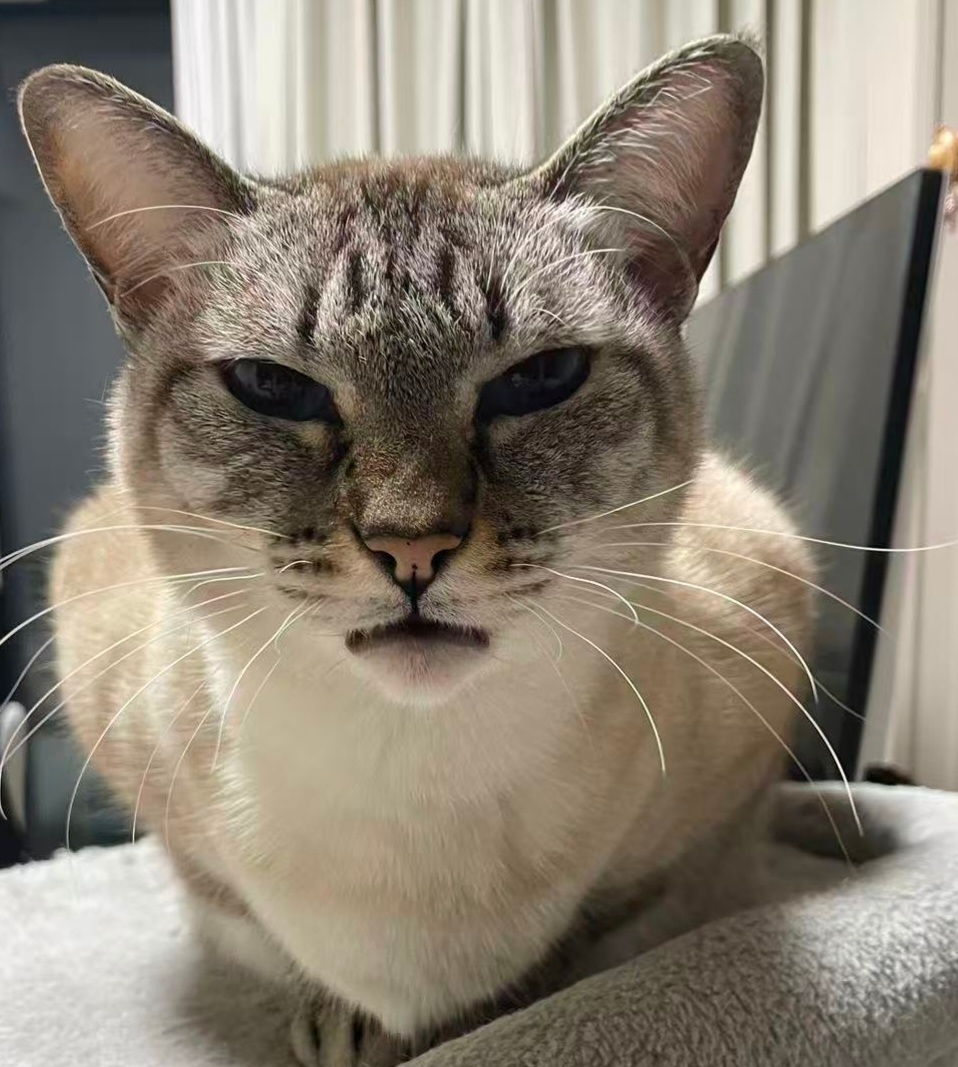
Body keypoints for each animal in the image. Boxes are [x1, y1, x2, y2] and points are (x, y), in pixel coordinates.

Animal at [18, 33, 813, 1066]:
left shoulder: (736, 755)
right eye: (273, 387)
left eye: (541, 380)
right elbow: (251, 921)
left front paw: (493, 1011)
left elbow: (602, 932)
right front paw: (346, 1017)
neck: (413, 772)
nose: (413, 546)